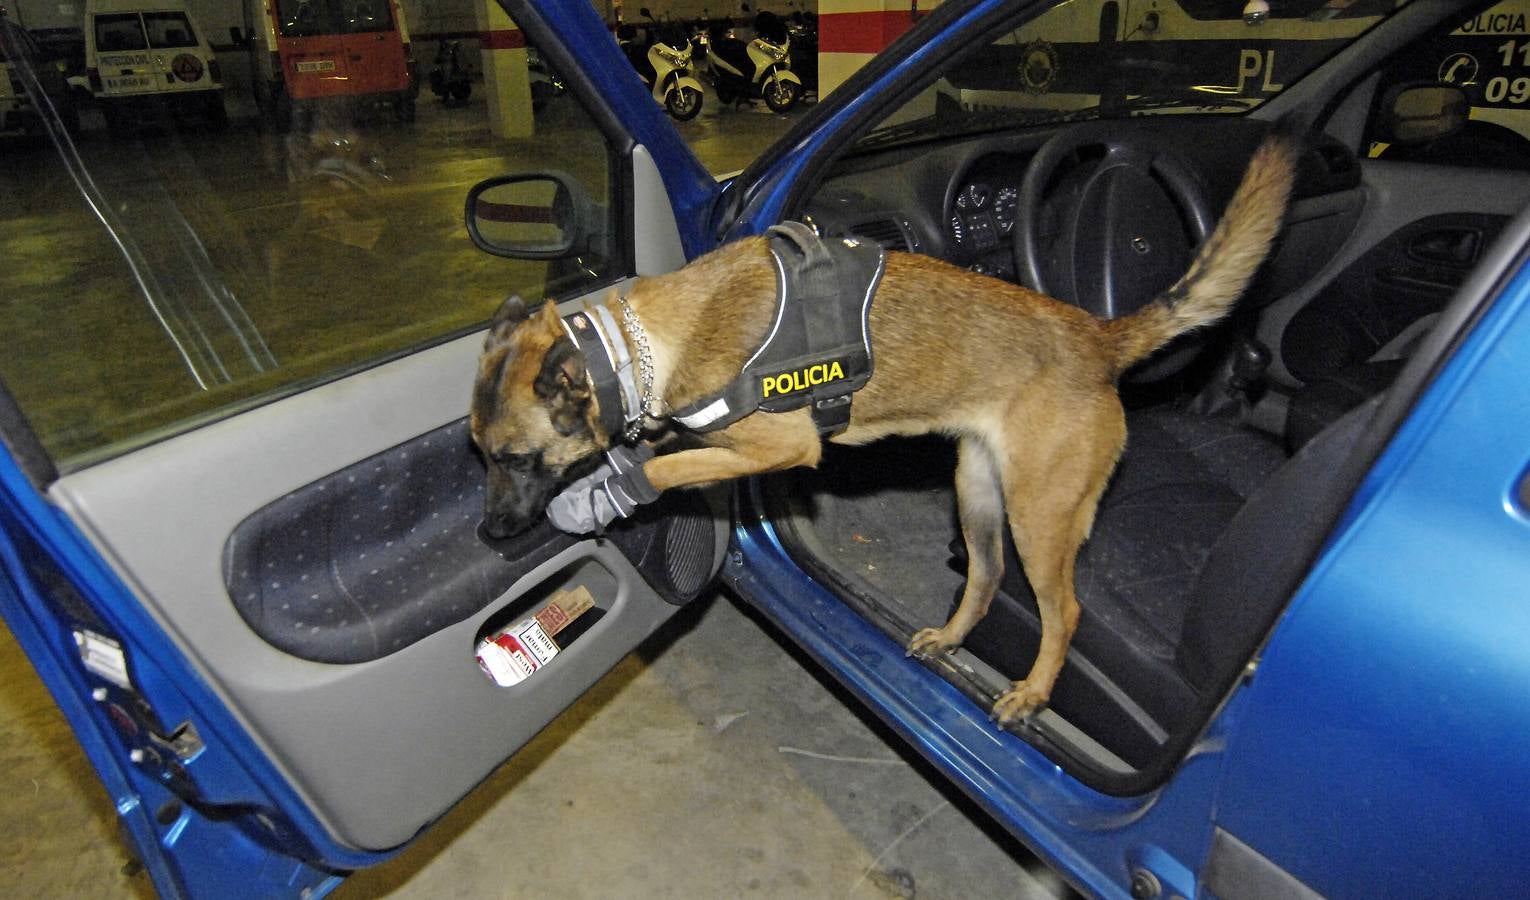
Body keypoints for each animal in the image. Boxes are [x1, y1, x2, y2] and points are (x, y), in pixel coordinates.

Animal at [471, 135, 1297, 725]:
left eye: (516, 458)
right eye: (479, 456)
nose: (488, 532)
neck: (642, 344)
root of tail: (1097, 338)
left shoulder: (781, 445)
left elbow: (674, 464)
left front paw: (616, 492)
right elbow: (677, 447)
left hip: (1041, 514)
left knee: (1063, 612)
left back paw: (1032, 692)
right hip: (978, 489)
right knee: (987, 575)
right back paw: (952, 638)